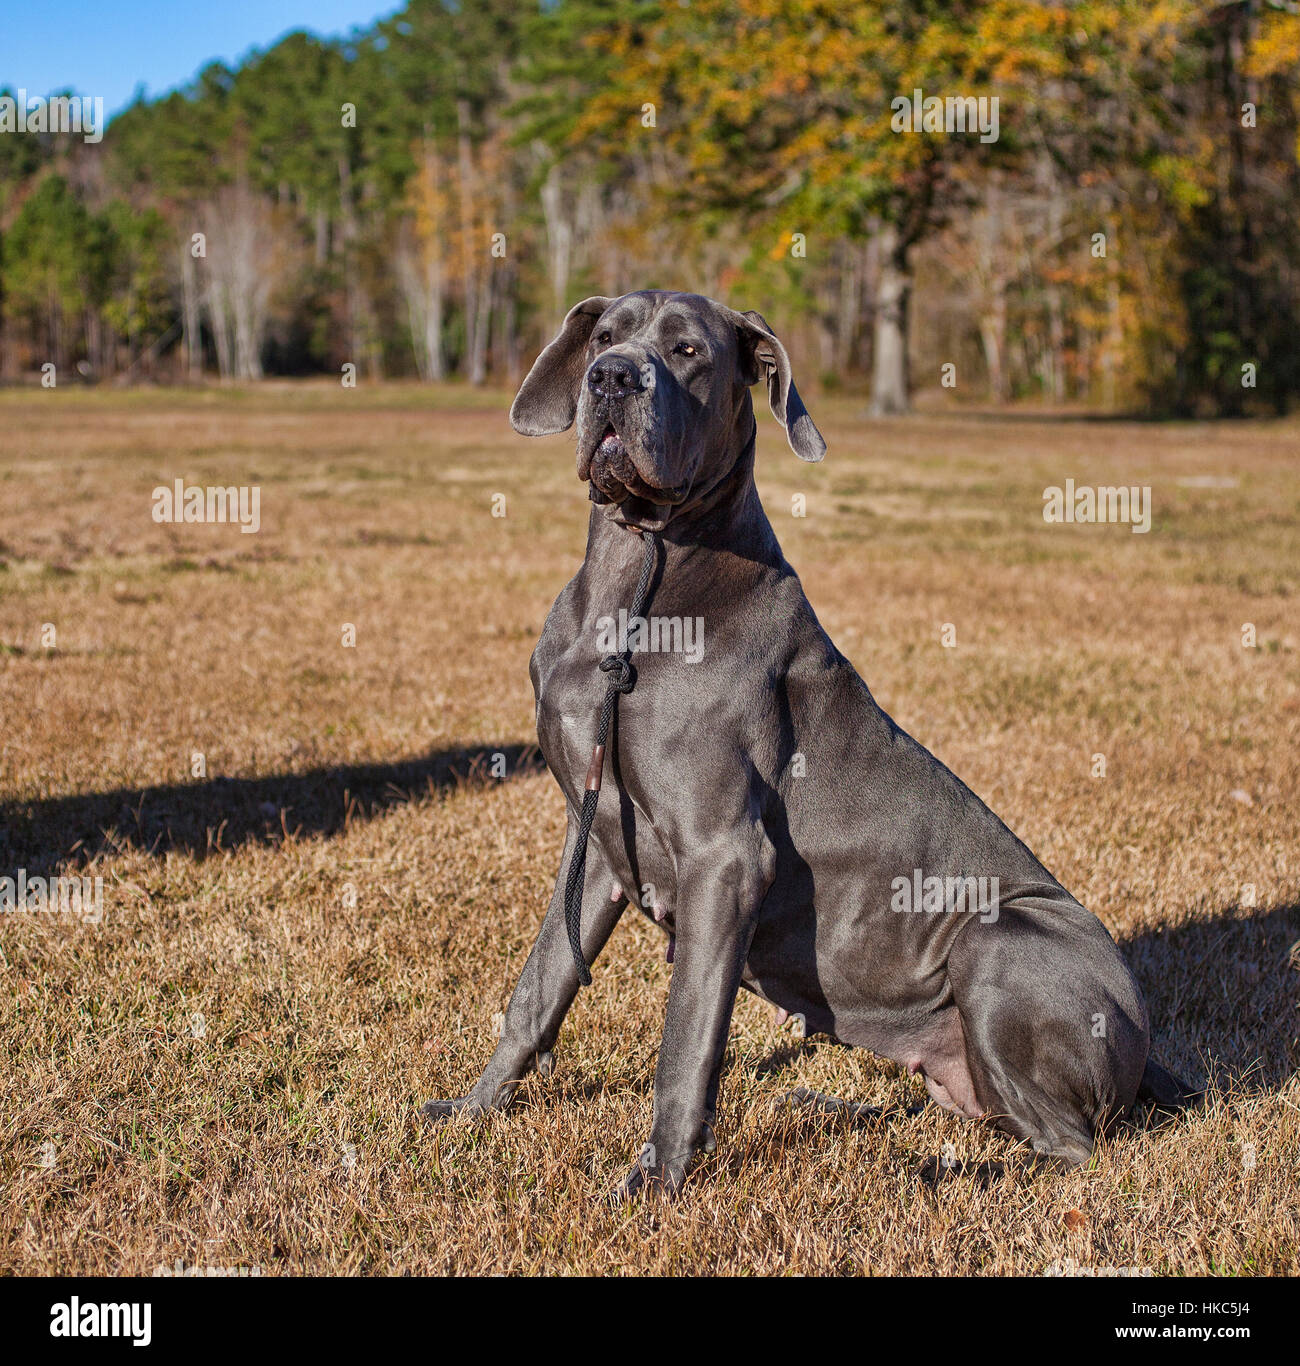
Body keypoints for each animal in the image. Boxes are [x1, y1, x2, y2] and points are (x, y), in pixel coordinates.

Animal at [420, 288, 1190, 1196]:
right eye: (605, 336)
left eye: (687, 351)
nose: (610, 378)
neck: (636, 572)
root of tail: (1147, 1053)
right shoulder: (599, 839)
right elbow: (540, 985)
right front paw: (473, 1111)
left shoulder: (724, 855)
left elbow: (687, 1037)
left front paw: (658, 1180)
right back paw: (834, 1106)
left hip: (995, 941)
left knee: (1072, 1147)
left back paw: (939, 1173)